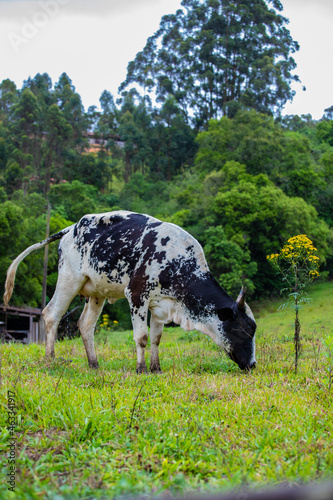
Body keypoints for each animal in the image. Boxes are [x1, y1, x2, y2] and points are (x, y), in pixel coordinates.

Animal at [3, 211, 256, 372]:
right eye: (243, 330)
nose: (253, 364)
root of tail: (72, 227)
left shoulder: (160, 304)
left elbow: (156, 338)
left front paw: (156, 368)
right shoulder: (136, 295)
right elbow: (141, 337)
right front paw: (141, 368)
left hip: (96, 293)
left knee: (85, 325)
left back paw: (93, 364)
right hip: (69, 279)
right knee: (51, 314)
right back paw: (50, 360)